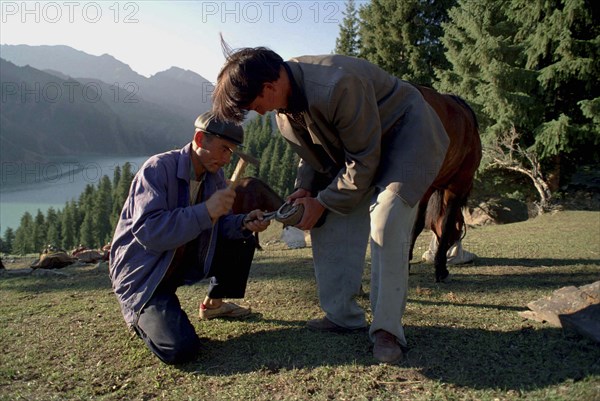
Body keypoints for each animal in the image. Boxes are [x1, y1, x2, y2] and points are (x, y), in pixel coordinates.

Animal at [408, 85, 482, 282]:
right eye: (460, 225)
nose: (452, 247)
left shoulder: (428, 188)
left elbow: (417, 223)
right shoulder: (456, 187)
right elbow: (446, 223)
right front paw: (440, 268)